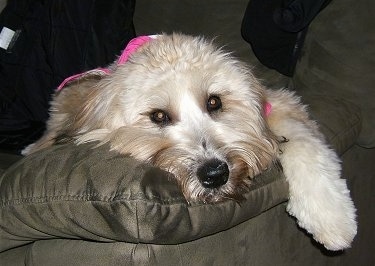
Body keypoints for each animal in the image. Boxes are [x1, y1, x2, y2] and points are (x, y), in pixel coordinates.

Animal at [23, 33, 358, 251]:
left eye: (214, 102)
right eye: (158, 116)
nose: (215, 174)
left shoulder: (281, 106)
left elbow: (304, 143)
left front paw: (332, 217)